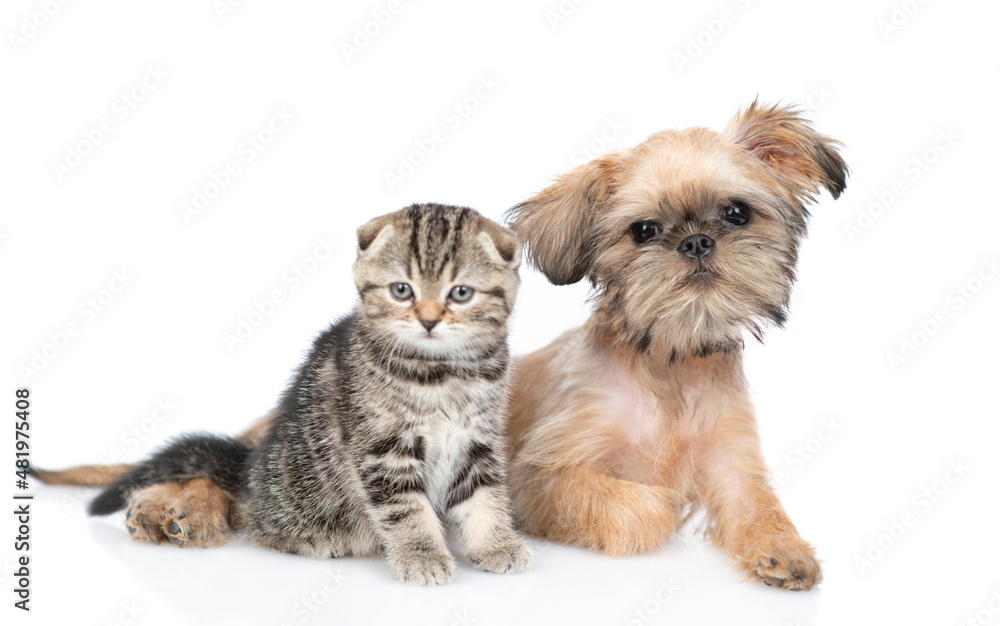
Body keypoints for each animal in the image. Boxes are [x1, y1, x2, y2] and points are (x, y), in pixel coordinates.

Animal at [91, 202, 536, 584]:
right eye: (401, 290)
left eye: (460, 293)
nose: (428, 320)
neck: (442, 372)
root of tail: (250, 472)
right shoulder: (383, 450)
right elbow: (406, 510)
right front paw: (421, 555)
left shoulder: (478, 439)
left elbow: (485, 496)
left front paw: (496, 544)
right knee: (252, 520)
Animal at [504, 100, 848, 588]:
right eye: (644, 231)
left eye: (736, 213)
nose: (696, 241)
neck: (674, 363)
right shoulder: (537, 479)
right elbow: (644, 507)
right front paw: (663, 504)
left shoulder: (733, 467)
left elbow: (761, 508)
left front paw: (785, 548)